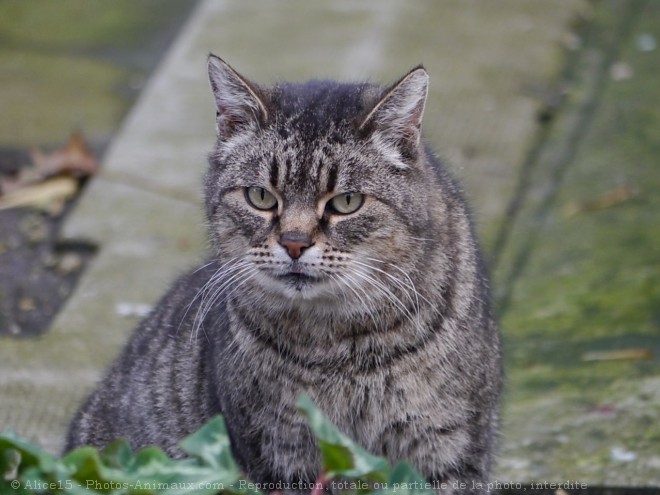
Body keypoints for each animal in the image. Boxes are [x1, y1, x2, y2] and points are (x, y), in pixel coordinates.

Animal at [65, 53, 500, 492]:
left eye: (346, 202)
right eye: (261, 196)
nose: (293, 243)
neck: (340, 347)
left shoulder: (449, 448)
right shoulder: (280, 454)